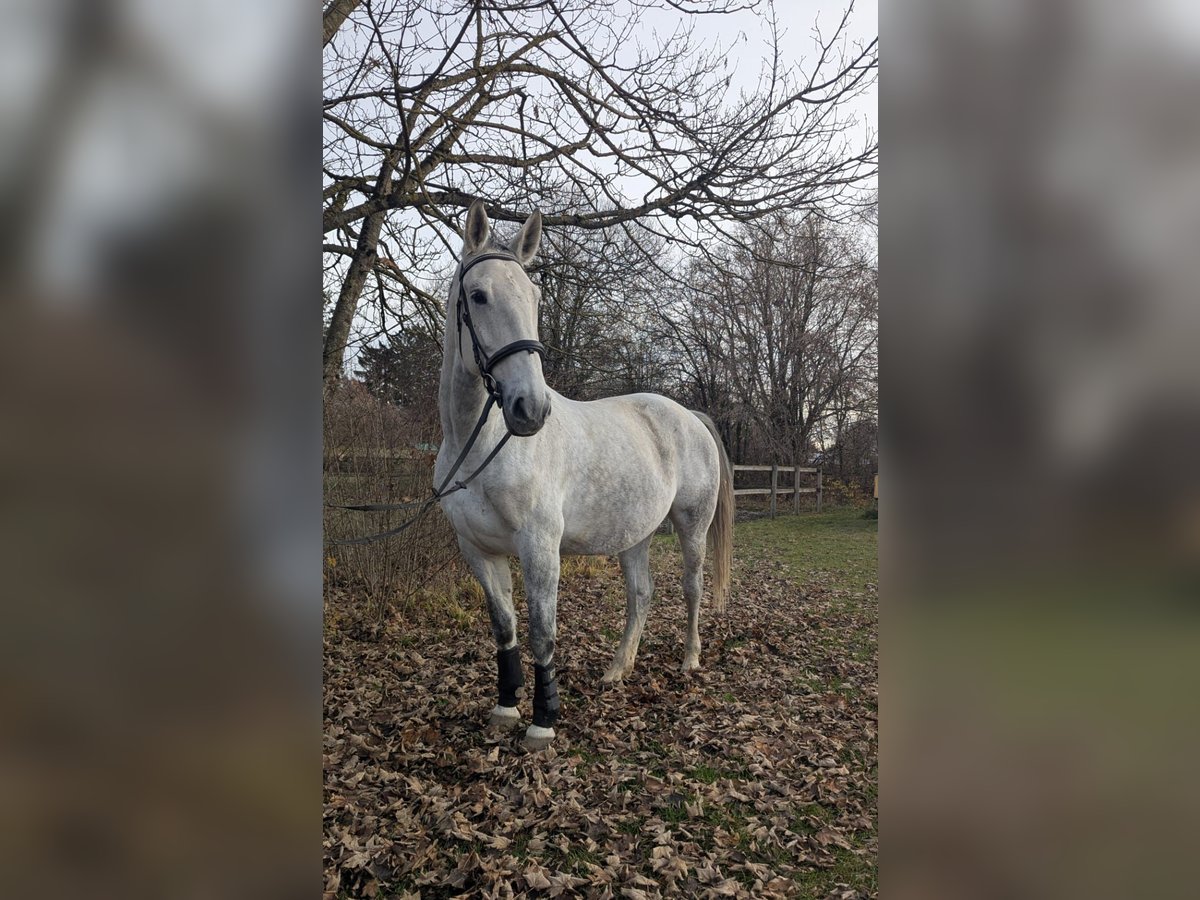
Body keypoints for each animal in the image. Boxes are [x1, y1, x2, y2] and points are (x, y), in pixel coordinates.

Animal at [434, 200, 734, 751]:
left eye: (533, 296)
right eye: (478, 295)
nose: (529, 409)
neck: (481, 446)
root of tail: (687, 416)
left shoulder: (539, 548)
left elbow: (542, 633)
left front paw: (542, 722)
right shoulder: (478, 551)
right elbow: (504, 628)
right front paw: (505, 709)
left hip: (692, 526)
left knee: (691, 588)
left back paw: (689, 659)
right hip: (635, 535)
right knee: (641, 595)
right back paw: (619, 669)